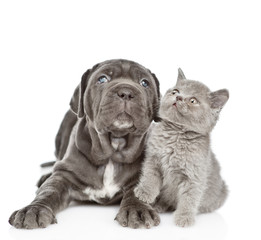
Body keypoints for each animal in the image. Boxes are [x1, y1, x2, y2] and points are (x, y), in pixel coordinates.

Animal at [9, 58, 160, 229]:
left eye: (144, 83)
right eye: (102, 79)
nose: (126, 92)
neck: (113, 150)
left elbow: (139, 192)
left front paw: (138, 210)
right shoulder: (64, 175)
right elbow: (48, 191)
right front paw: (33, 209)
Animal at [134, 69, 228, 227]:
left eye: (193, 101)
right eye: (175, 91)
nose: (178, 97)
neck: (175, 134)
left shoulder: (194, 177)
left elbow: (189, 198)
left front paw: (184, 217)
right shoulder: (153, 159)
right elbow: (150, 177)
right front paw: (145, 192)